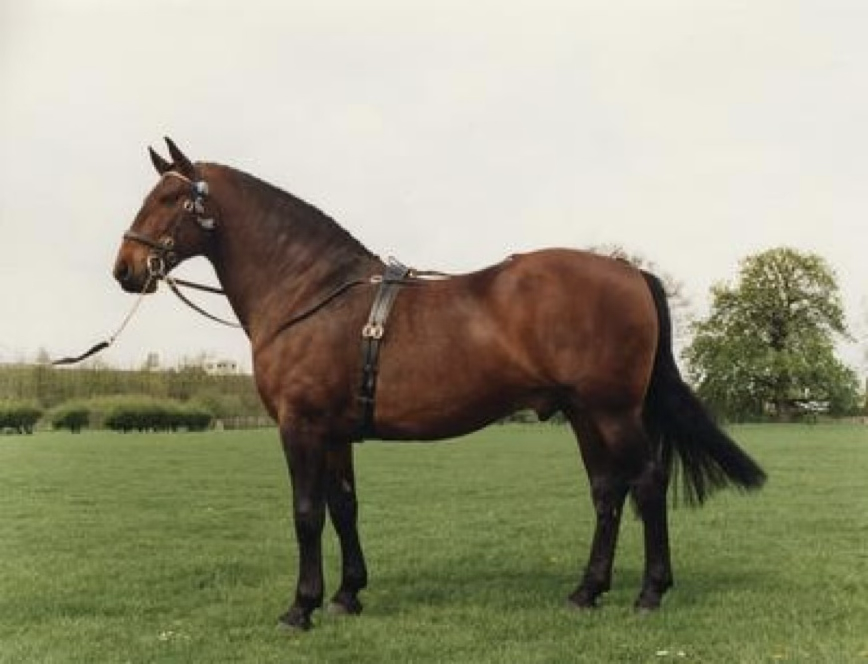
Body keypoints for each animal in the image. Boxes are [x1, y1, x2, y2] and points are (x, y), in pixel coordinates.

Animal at [113, 138, 766, 630]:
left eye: (170, 198)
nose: (125, 268)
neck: (311, 294)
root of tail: (630, 271)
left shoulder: (302, 427)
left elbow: (306, 512)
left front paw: (301, 607)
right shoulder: (336, 433)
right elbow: (343, 506)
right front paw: (347, 595)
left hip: (614, 412)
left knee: (647, 485)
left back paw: (650, 592)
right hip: (584, 415)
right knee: (608, 493)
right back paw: (587, 591)